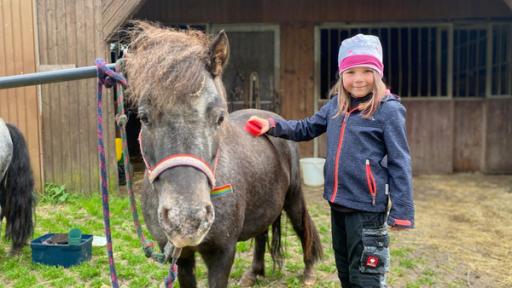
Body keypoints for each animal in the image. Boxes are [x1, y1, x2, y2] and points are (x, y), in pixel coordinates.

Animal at [124, 22, 322, 288]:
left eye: (219, 117)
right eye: (144, 117)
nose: (187, 220)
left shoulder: (222, 253)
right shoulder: (181, 256)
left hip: (293, 198)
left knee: (302, 226)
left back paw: (308, 271)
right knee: (261, 233)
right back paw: (253, 273)